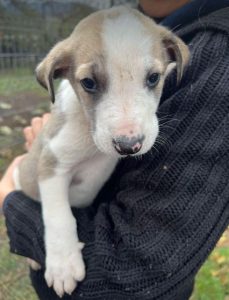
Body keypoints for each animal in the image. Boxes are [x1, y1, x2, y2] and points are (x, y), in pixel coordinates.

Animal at [12, 5, 189, 298]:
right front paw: (63, 265)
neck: (88, 135)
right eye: (89, 83)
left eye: (154, 78)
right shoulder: (51, 165)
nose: (129, 145)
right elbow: (59, 216)